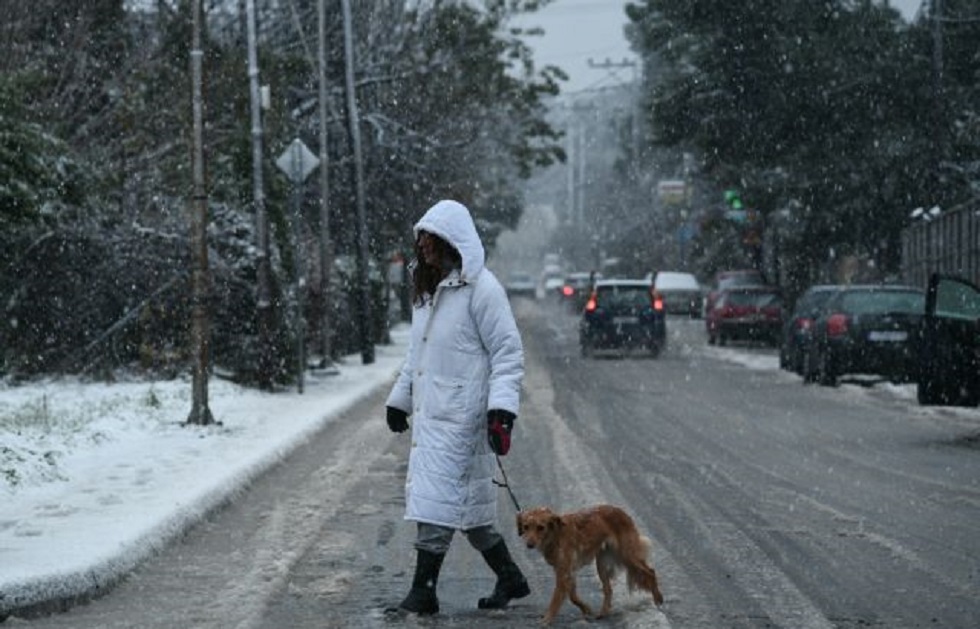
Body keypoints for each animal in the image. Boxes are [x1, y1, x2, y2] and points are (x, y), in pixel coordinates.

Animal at [512, 506, 668, 624]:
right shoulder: (567, 571)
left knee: (650, 571)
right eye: (526, 527)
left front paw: (546, 619)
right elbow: (573, 596)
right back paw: (603, 613)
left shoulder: (564, 572)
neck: (556, 535)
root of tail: (620, 511)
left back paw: (658, 599)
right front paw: (586, 609)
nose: (529, 544)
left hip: (627, 555)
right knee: (608, 589)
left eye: (540, 527)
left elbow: (556, 599)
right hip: (602, 564)